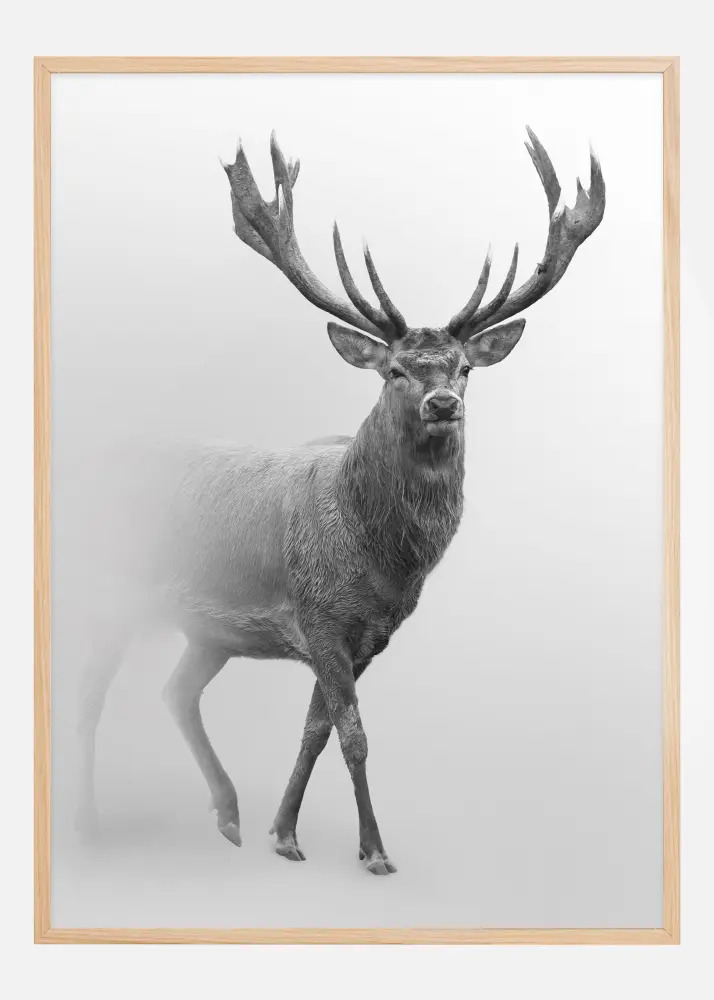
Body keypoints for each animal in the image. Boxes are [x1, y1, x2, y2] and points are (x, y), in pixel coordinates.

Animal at [76, 127, 605, 875]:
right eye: (395, 370)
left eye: (464, 369)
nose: (442, 404)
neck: (382, 561)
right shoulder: (320, 616)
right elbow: (354, 736)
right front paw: (374, 850)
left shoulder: (366, 638)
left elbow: (316, 731)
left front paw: (283, 832)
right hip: (109, 590)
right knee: (89, 695)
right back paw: (90, 826)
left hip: (209, 631)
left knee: (174, 691)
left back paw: (229, 815)